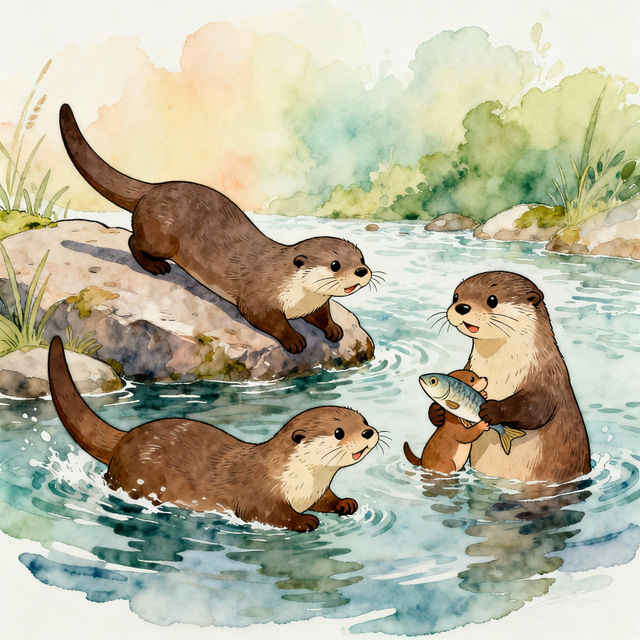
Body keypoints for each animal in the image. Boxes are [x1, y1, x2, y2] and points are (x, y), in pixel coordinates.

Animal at [47, 336, 379, 531]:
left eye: (362, 419)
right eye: (339, 432)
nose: (368, 432)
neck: (297, 480)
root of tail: (126, 436)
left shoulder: (315, 491)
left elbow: (327, 499)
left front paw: (344, 504)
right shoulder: (258, 494)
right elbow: (267, 514)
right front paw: (305, 520)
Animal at [58, 104, 372, 354]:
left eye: (361, 258)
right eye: (335, 264)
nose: (362, 271)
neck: (294, 291)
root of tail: (154, 188)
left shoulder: (314, 303)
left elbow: (321, 314)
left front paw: (333, 328)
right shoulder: (259, 296)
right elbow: (266, 319)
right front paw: (293, 339)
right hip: (162, 237)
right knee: (134, 241)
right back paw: (156, 267)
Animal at [428, 271, 590, 483]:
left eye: (492, 300)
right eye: (456, 296)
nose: (462, 307)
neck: (500, 369)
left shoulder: (548, 377)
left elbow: (535, 408)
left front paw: (492, 410)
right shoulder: (469, 368)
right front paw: (437, 412)